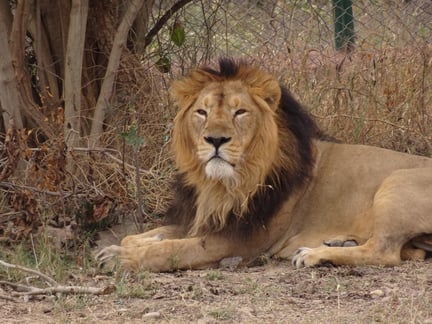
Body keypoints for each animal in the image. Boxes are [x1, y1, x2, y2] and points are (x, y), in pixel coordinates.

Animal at [97, 57, 432, 270]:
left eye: (240, 112)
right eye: (202, 112)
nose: (215, 140)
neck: (222, 183)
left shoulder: (240, 239)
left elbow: (174, 249)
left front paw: (123, 259)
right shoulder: (208, 218)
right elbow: (143, 235)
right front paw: (122, 247)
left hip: (395, 183)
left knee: (385, 252)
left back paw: (313, 255)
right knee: (407, 252)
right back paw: (337, 244)